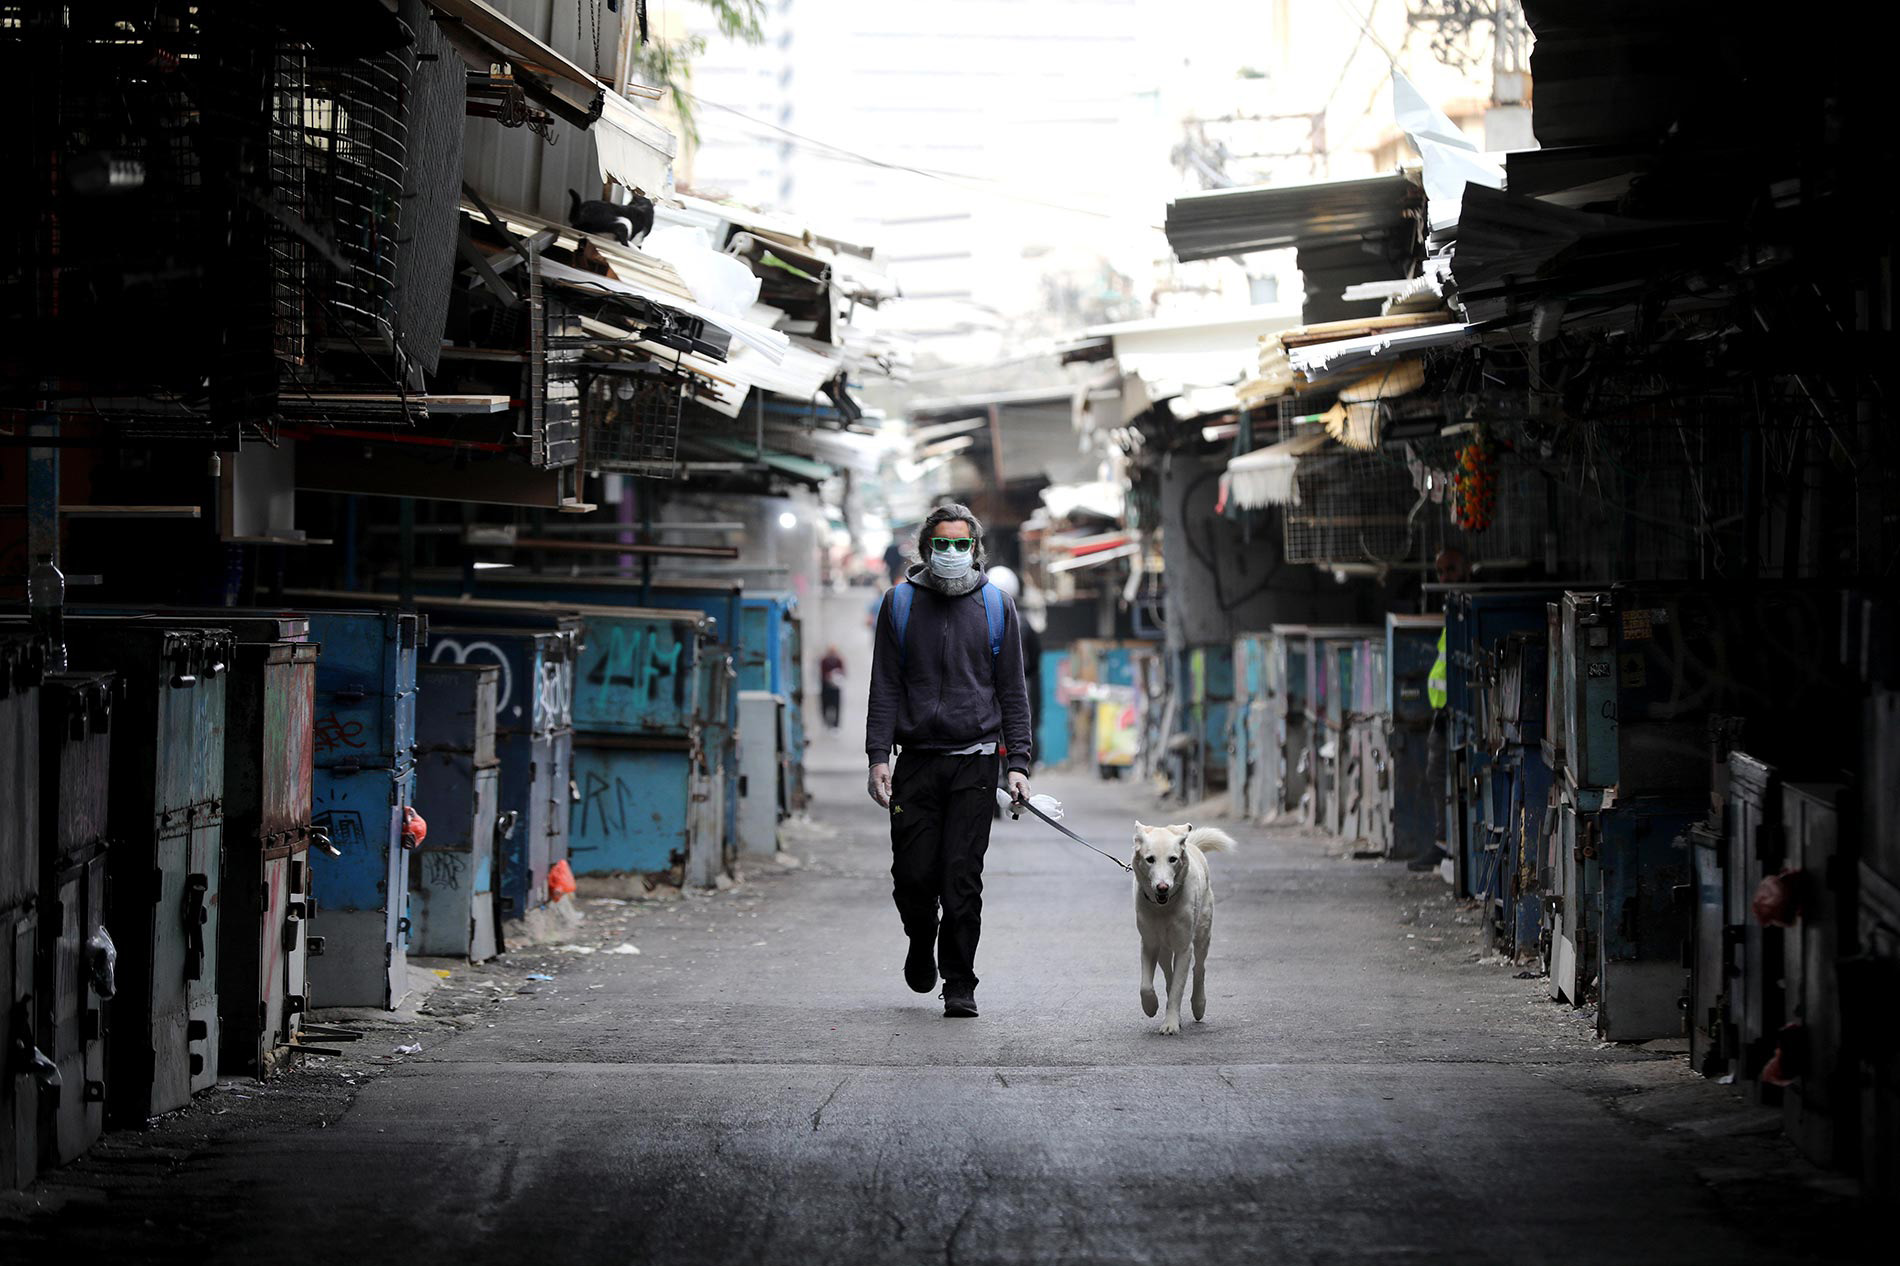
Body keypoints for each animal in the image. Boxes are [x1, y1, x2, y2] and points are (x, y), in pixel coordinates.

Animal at [1132, 817, 1238, 1034]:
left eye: (1172, 859)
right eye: (1150, 859)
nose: (1163, 887)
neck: (1163, 908)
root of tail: (1192, 844)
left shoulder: (1183, 948)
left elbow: (1177, 989)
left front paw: (1171, 1023)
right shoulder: (1149, 944)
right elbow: (1146, 986)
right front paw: (1151, 1006)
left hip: (1202, 935)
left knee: (1199, 969)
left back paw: (1198, 1004)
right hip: (1164, 949)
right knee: (1169, 974)